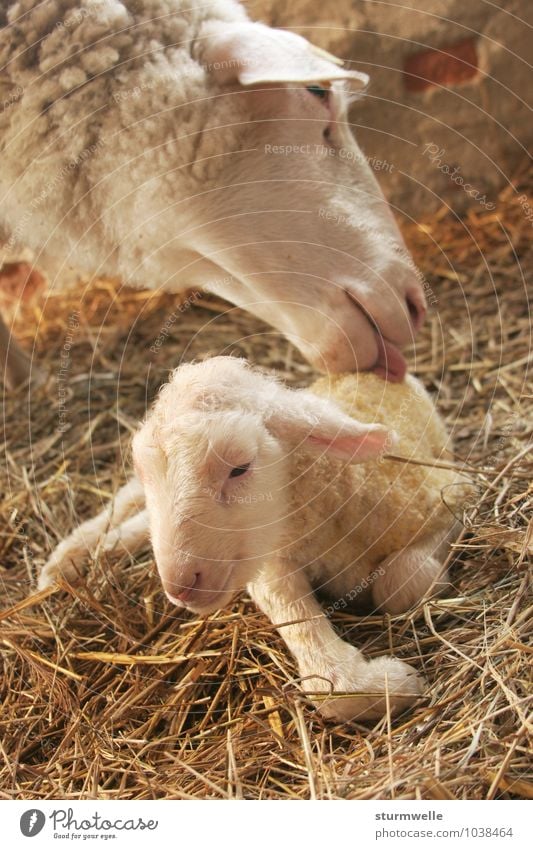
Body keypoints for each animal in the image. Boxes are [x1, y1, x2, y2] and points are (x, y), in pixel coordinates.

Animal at [37, 354, 466, 720]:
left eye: (239, 468)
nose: (180, 585)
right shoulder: (271, 562)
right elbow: (326, 676)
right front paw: (386, 684)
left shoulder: (451, 495)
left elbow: (403, 580)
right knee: (129, 504)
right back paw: (68, 559)